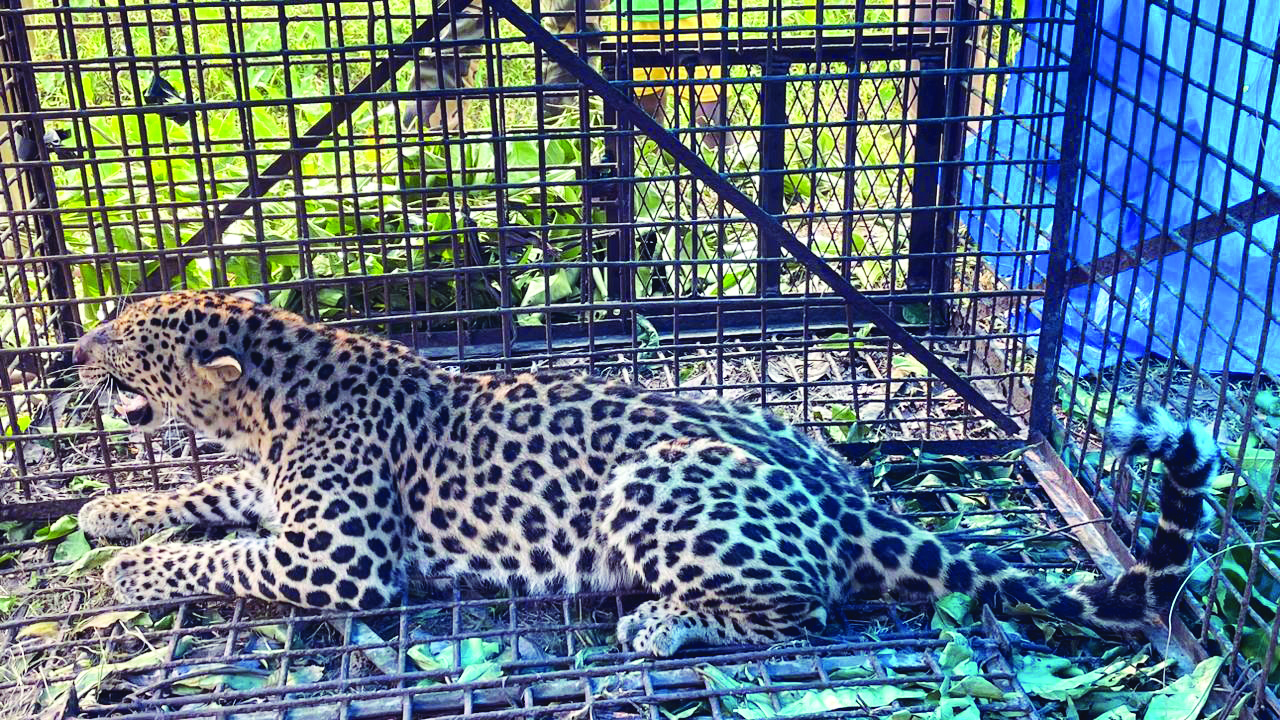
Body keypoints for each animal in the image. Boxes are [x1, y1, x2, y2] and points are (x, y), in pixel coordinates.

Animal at [72, 289, 1220, 657]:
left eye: (123, 337)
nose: (66, 352)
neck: (269, 407)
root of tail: (851, 506)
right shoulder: (270, 494)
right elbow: (204, 502)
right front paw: (111, 507)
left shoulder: (339, 560)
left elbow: (223, 554)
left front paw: (131, 571)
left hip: (649, 483)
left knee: (806, 612)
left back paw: (663, 623)